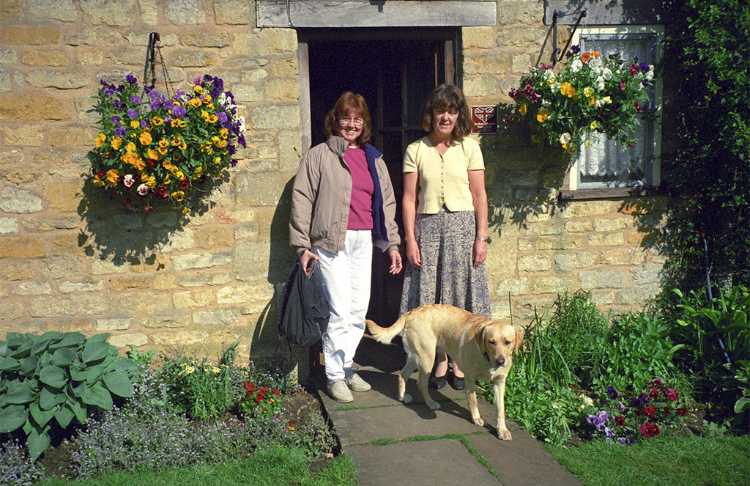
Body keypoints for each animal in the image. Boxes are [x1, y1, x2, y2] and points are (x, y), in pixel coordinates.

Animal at [368, 304, 524, 440]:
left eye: (508, 342)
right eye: (491, 342)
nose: (501, 361)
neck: (487, 358)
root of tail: (412, 311)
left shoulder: (499, 383)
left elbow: (501, 409)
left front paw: (502, 430)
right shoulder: (470, 379)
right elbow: (473, 400)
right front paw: (476, 418)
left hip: (415, 357)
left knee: (402, 374)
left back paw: (402, 397)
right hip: (427, 358)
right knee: (421, 383)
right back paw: (431, 403)